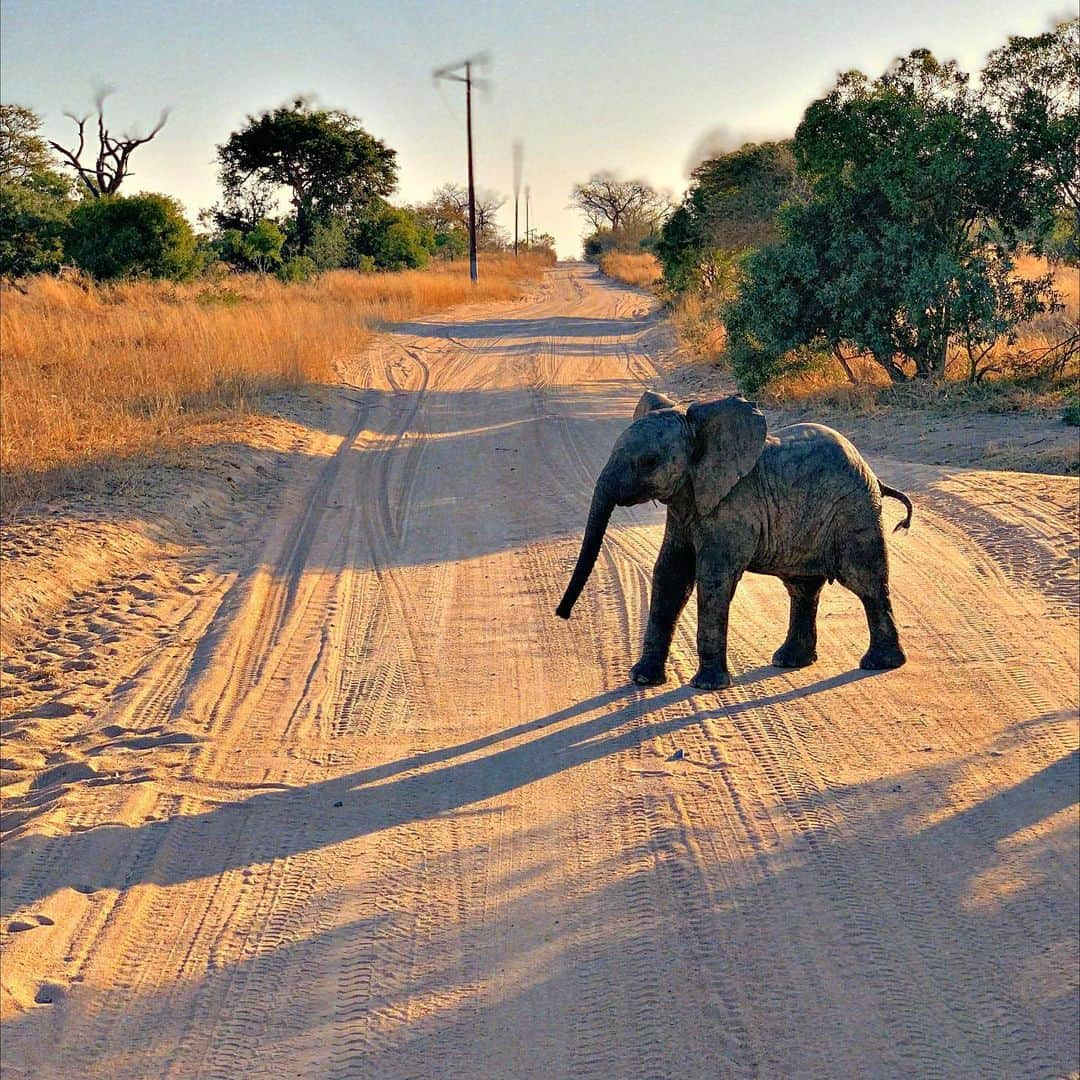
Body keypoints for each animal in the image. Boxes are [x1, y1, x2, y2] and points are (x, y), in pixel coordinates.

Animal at [557, 393, 911, 686]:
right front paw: (643, 680)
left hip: (855, 511)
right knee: (802, 588)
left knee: (865, 582)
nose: (562, 614)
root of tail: (875, 476)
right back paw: (790, 662)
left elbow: (713, 578)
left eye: (649, 462)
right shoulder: (684, 508)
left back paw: (880, 664)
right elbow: (670, 575)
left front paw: (707, 686)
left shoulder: (733, 506)